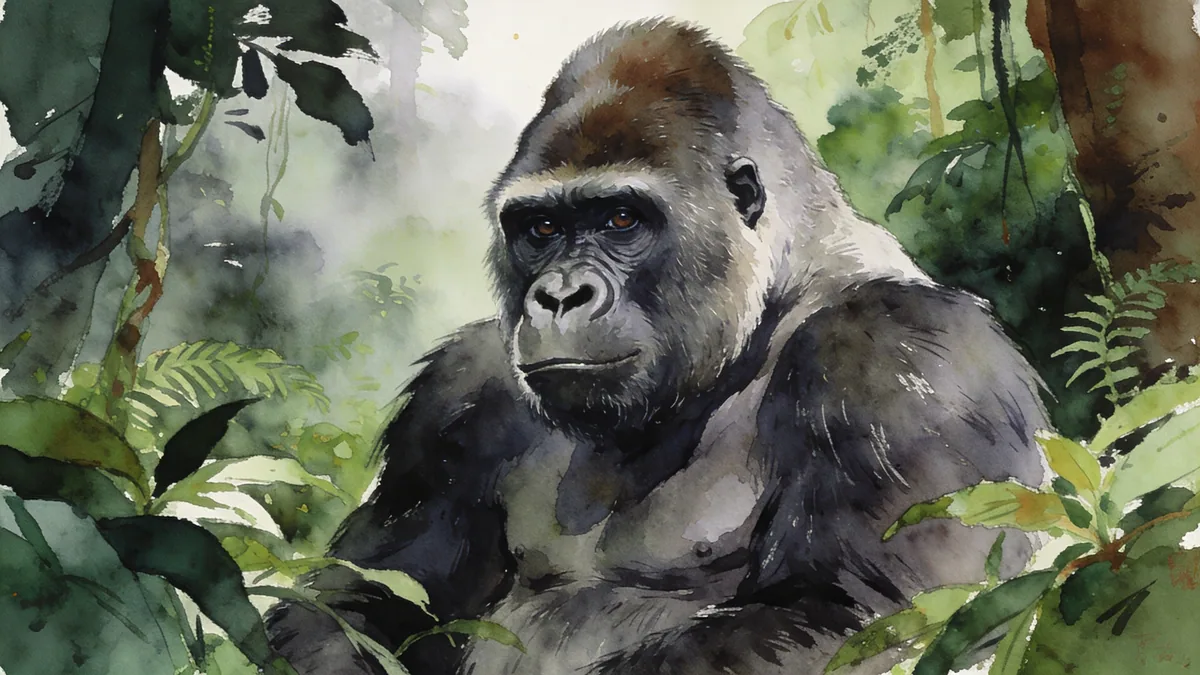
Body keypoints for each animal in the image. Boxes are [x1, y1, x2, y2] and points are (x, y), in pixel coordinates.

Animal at [265, 18, 1048, 675]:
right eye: (540, 229)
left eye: (620, 218)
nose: (559, 297)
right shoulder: (458, 395)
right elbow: (353, 603)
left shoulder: (898, 354)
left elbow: (855, 616)